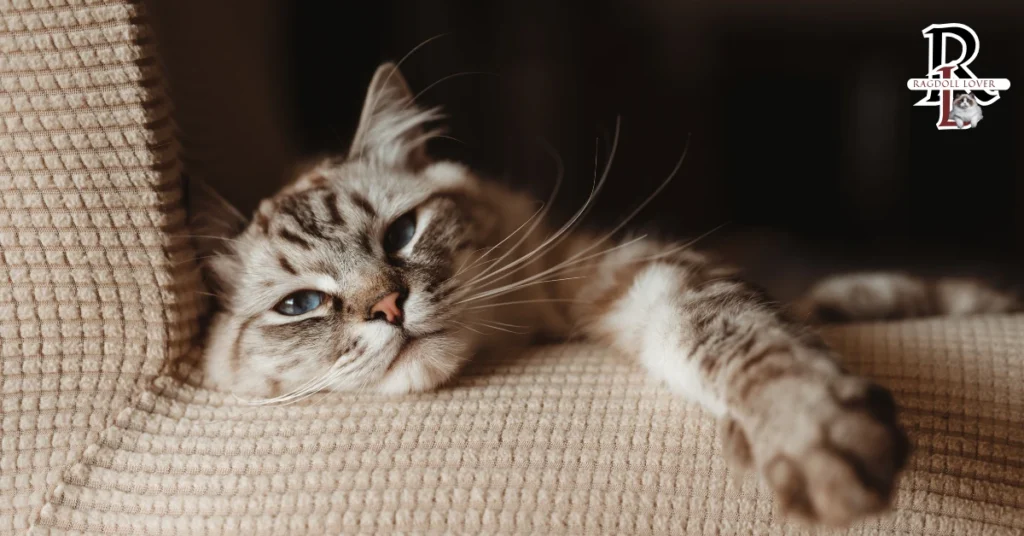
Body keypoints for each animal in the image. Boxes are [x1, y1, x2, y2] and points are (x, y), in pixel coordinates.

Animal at [192, 63, 1015, 528]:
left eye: (401, 234)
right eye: (300, 306)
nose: (388, 308)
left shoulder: (649, 280)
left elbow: (770, 346)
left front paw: (816, 438)